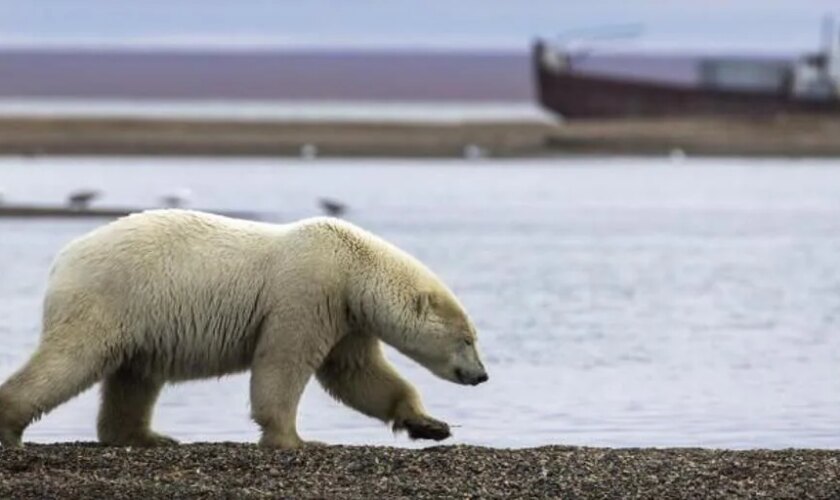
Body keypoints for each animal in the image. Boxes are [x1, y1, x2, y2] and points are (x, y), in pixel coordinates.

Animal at [0, 210, 488, 450]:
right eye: (467, 339)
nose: (481, 375)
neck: (354, 268)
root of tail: (64, 258)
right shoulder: (308, 293)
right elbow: (284, 363)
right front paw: (293, 440)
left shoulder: (348, 316)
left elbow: (358, 374)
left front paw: (430, 425)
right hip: (111, 296)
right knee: (71, 359)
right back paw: (10, 425)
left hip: (141, 318)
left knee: (134, 377)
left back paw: (146, 436)